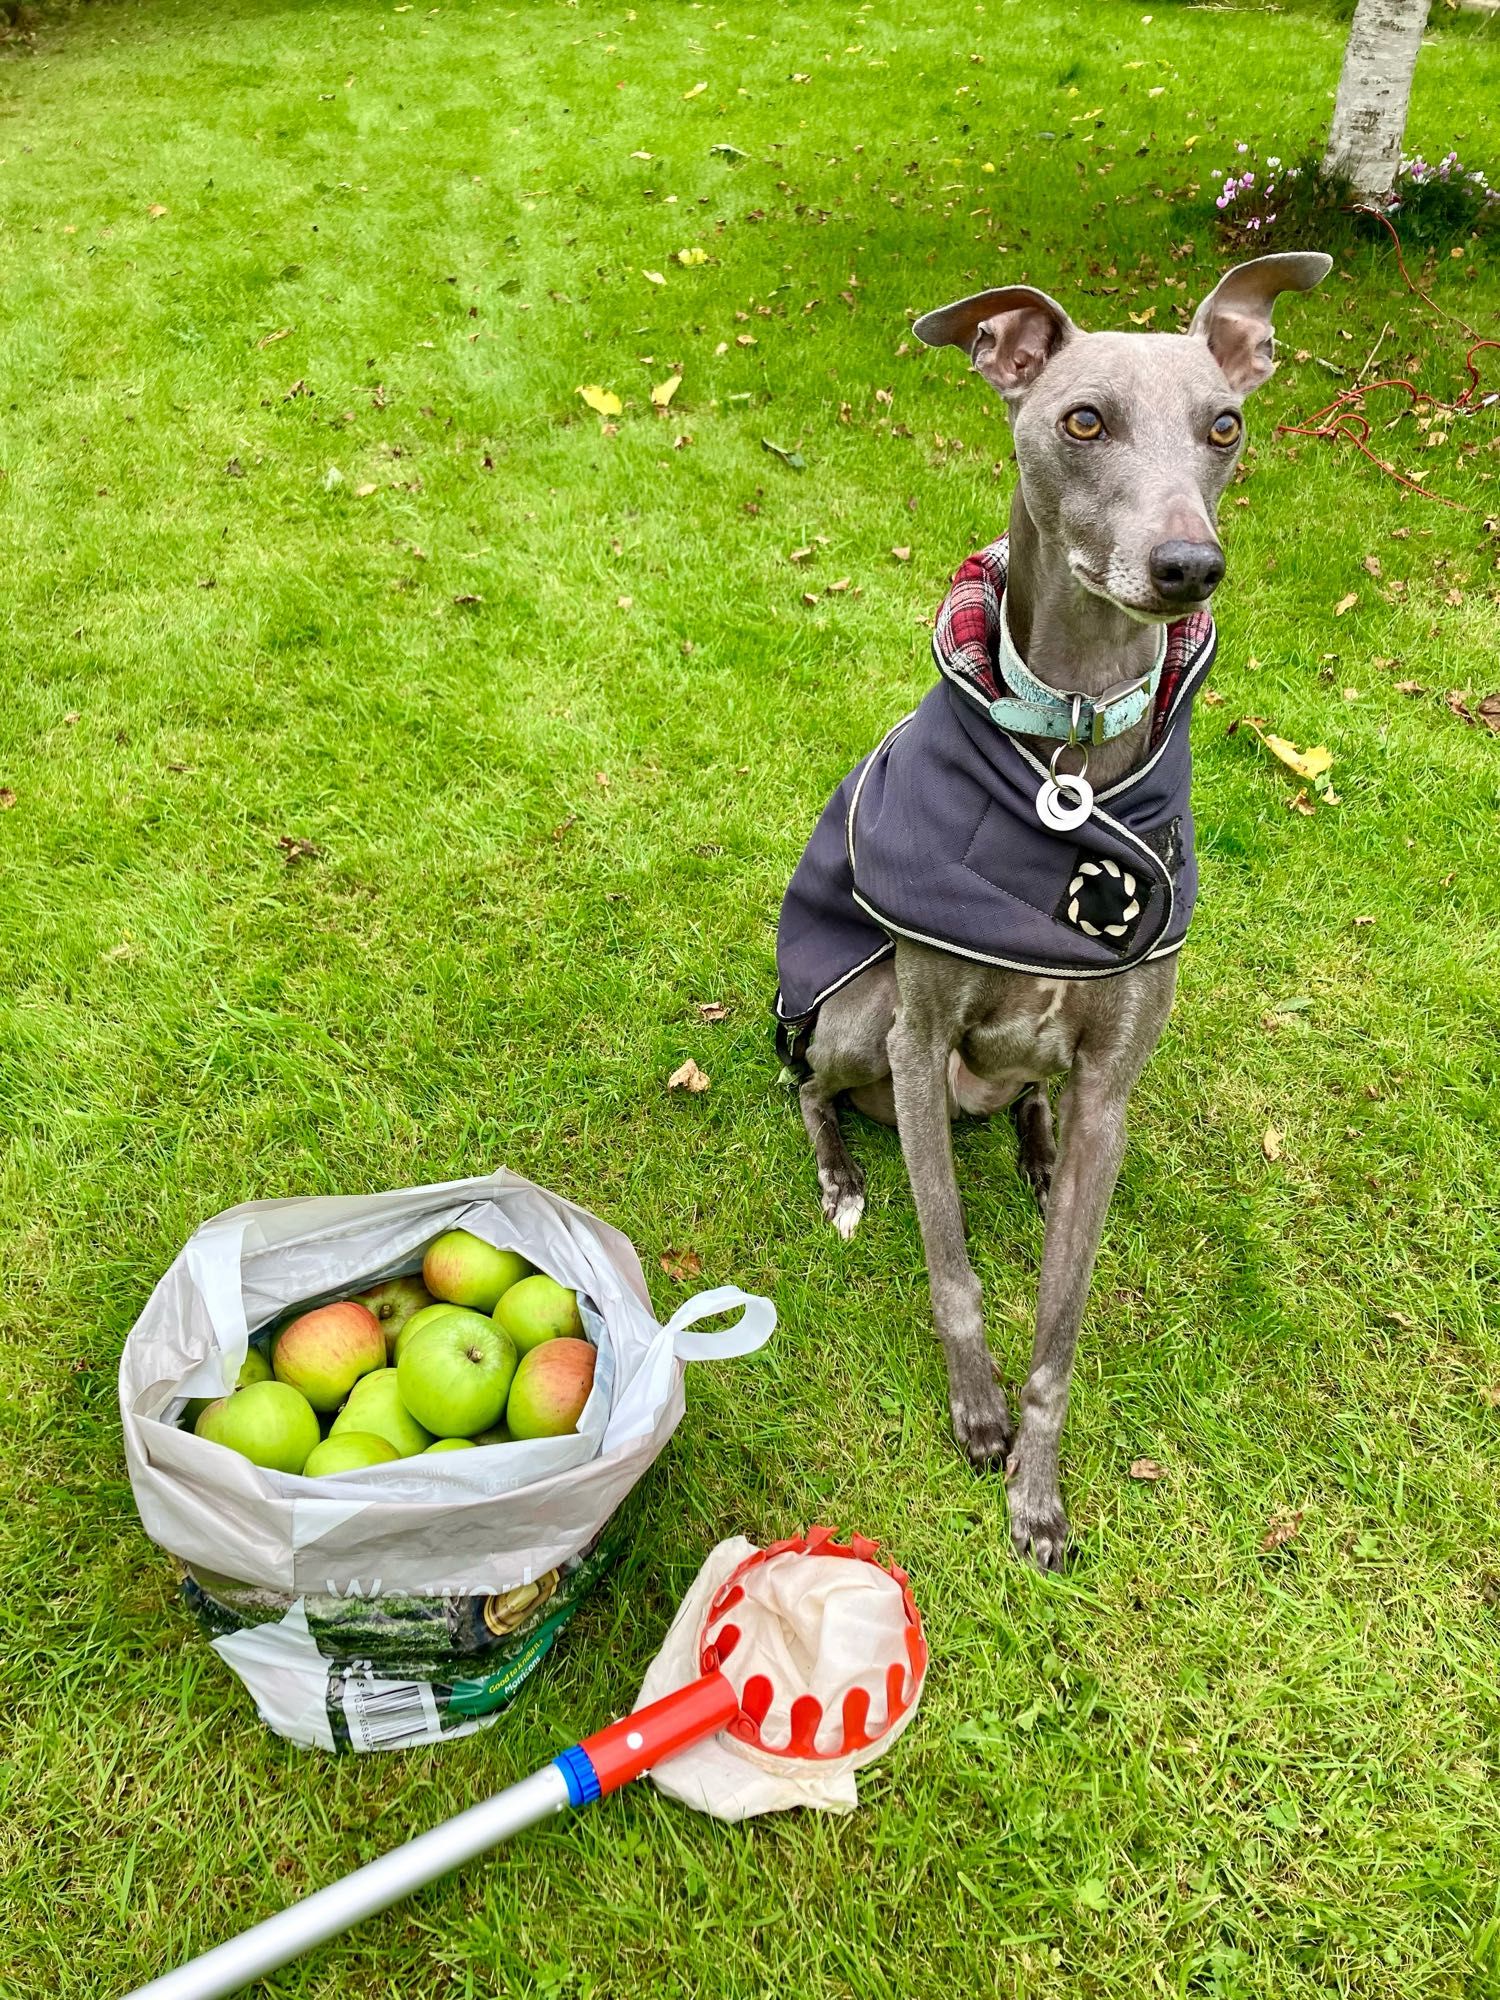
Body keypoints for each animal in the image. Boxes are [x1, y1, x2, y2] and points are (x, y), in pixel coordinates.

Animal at [780, 246, 1336, 1560]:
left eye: (1226, 426)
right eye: (1082, 420)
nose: (1188, 568)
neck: (1073, 744)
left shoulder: (1113, 1092)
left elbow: (1062, 1316)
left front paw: (1037, 1486)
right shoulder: (919, 1036)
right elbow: (952, 1266)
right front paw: (978, 1418)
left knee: (1034, 1099)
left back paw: (1030, 1148)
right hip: (857, 1013)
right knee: (809, 1083)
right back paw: (840, 1176)